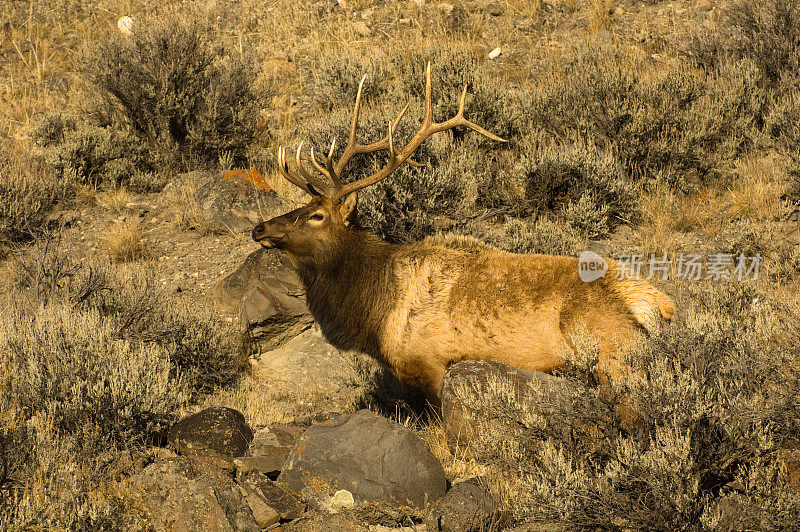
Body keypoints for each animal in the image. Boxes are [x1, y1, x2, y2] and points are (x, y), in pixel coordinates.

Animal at [252, 64, 676, 406]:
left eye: (317, 215)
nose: (260, 228)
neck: (373, 313)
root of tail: (658, 305)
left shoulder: (429, 363)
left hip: (610, 352)